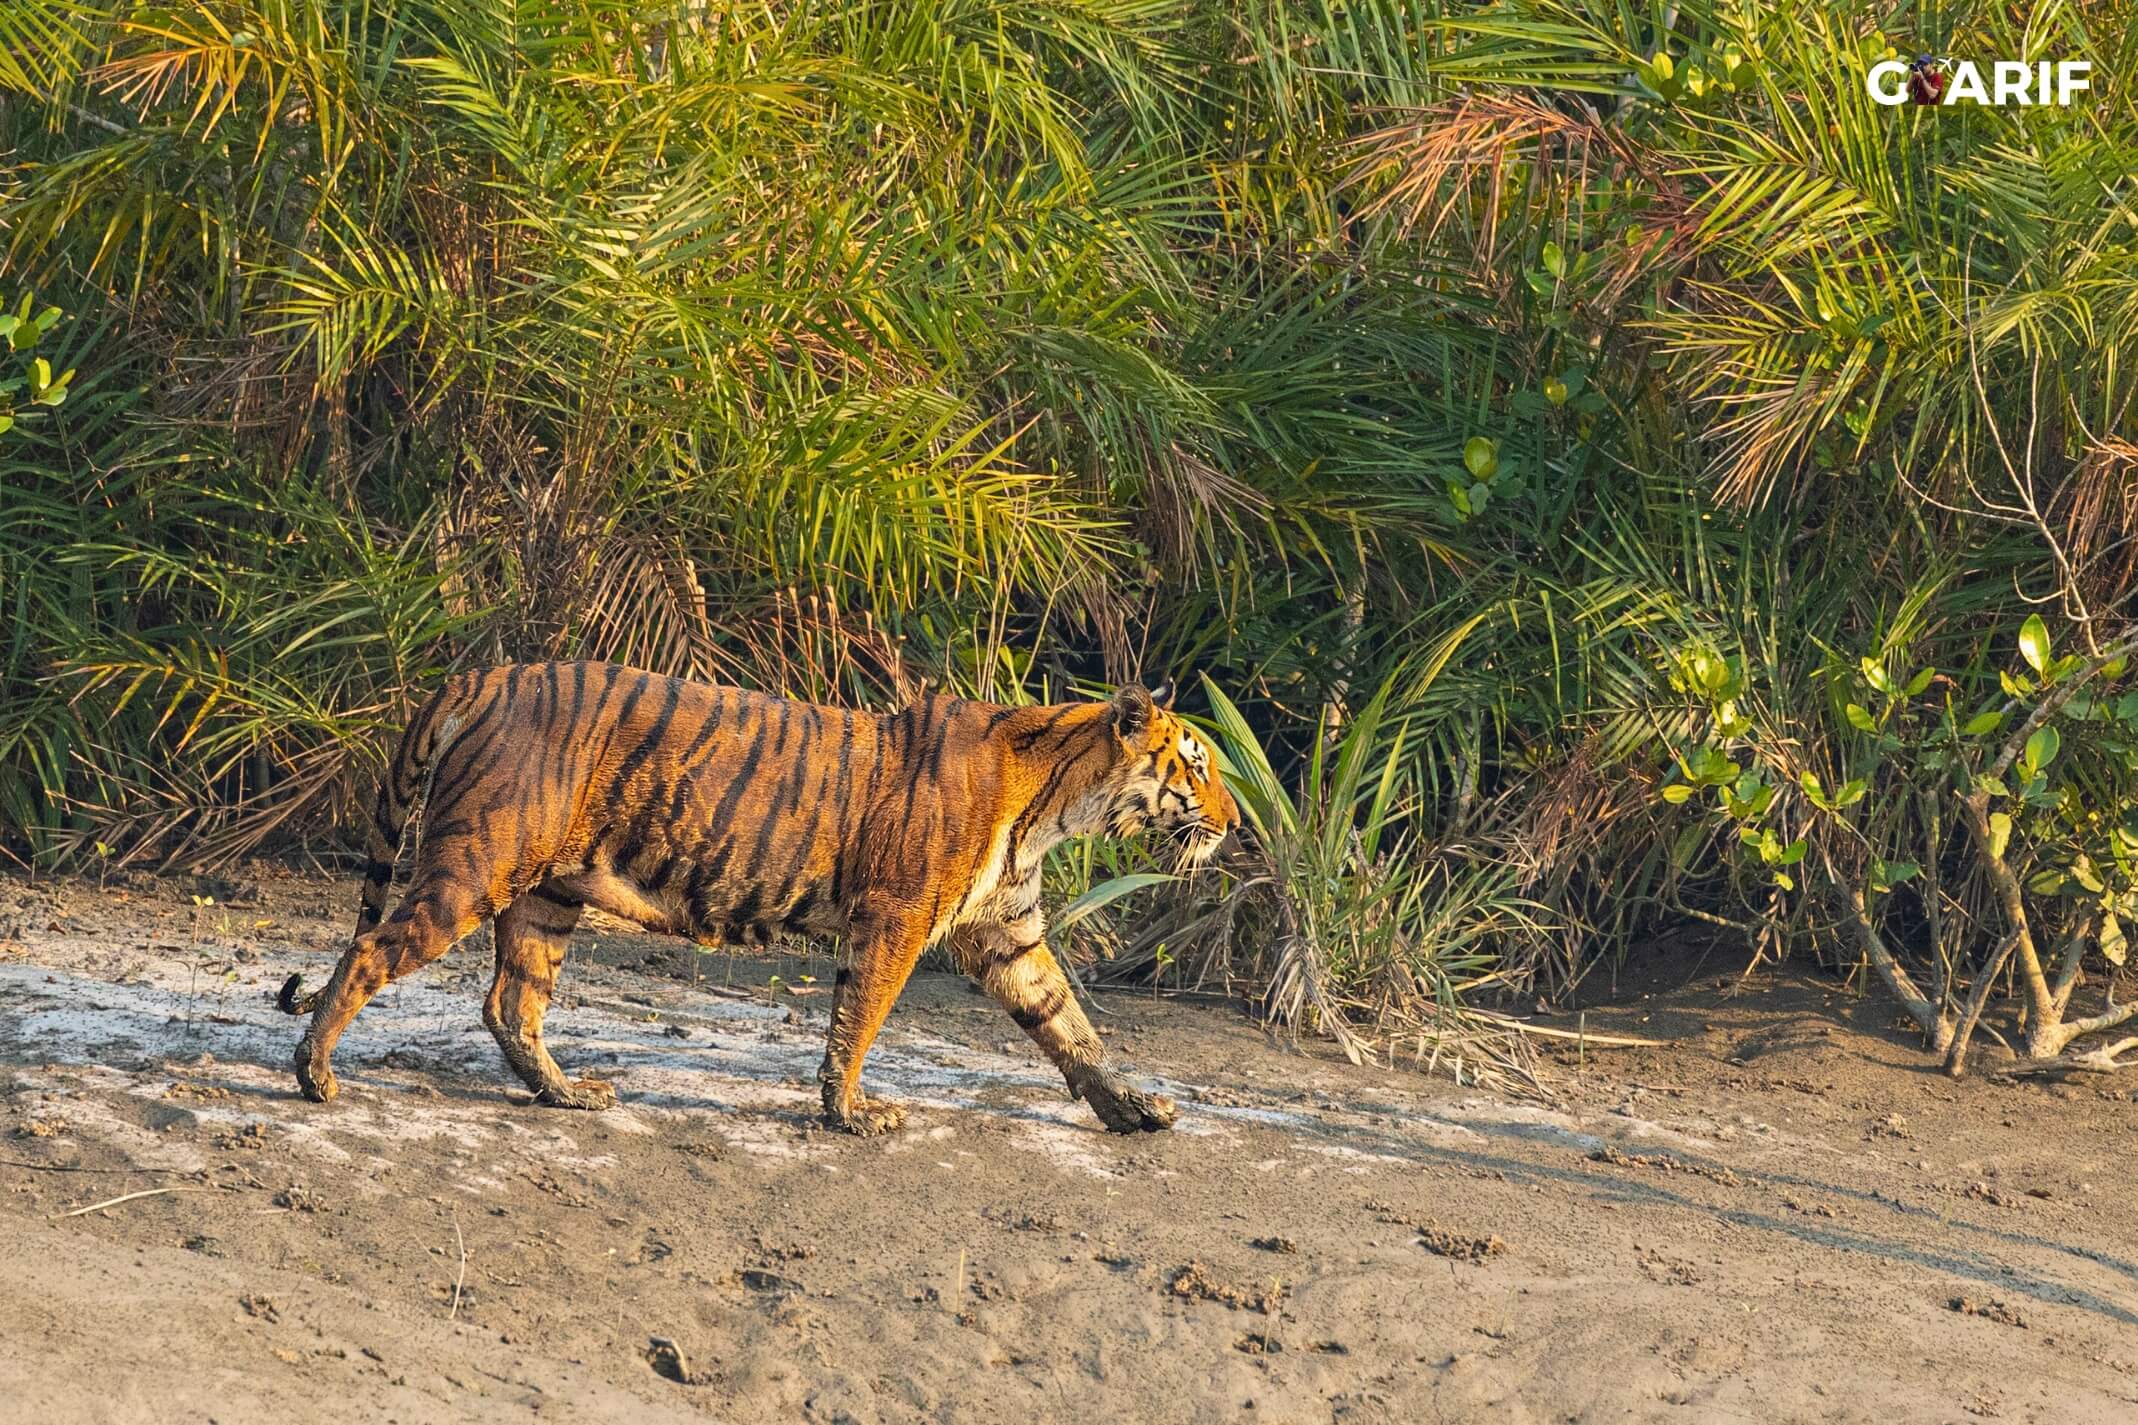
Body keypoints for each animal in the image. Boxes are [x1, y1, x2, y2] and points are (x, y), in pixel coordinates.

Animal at [273, 666, 1240, 1136]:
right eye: (1196, 764)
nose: (1234, 823)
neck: (1057, 802)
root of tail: (483, 675)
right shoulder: (896, 919)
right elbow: (858, 1021)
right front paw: (851, 1114)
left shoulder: (1010, 935)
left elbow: (1071, 1026)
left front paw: (1132, 1108)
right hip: (475, 868)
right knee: (369, 952)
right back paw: (315, 1074)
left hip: (546, 896)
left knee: (511, 1001)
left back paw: (568, 1095)